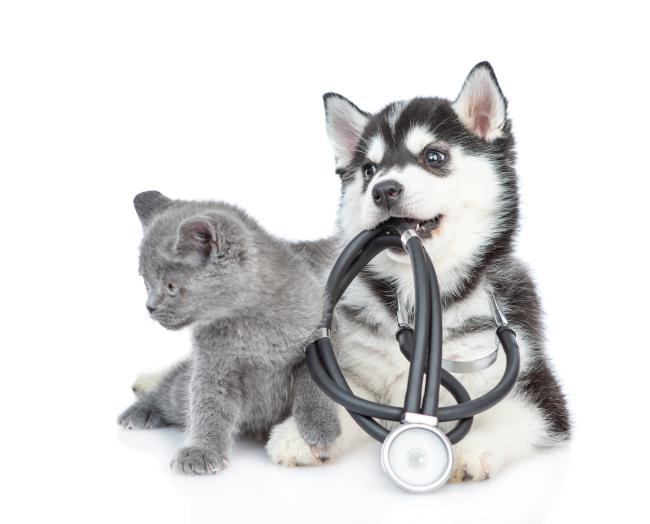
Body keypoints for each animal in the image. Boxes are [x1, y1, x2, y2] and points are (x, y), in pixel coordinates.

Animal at [117, 192, 340, 474]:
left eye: (171, 287)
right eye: (146, 283)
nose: (149, 307)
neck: (251, 325)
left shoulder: (319, 333)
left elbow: (316, 383)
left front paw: (320, 423)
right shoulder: (212, 365)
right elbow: (208, 405)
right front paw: (202, 450)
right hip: (178, 392)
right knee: (172, 390)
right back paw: (140, 410)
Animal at [268, 62, 568, 484]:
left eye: (434, 156)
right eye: (369, 170)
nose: (384, 190)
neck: (415, 297)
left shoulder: (543, 393)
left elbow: (509, 414)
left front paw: (470, 447)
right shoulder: (357, 373)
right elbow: (345, 399)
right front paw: (302, 431)